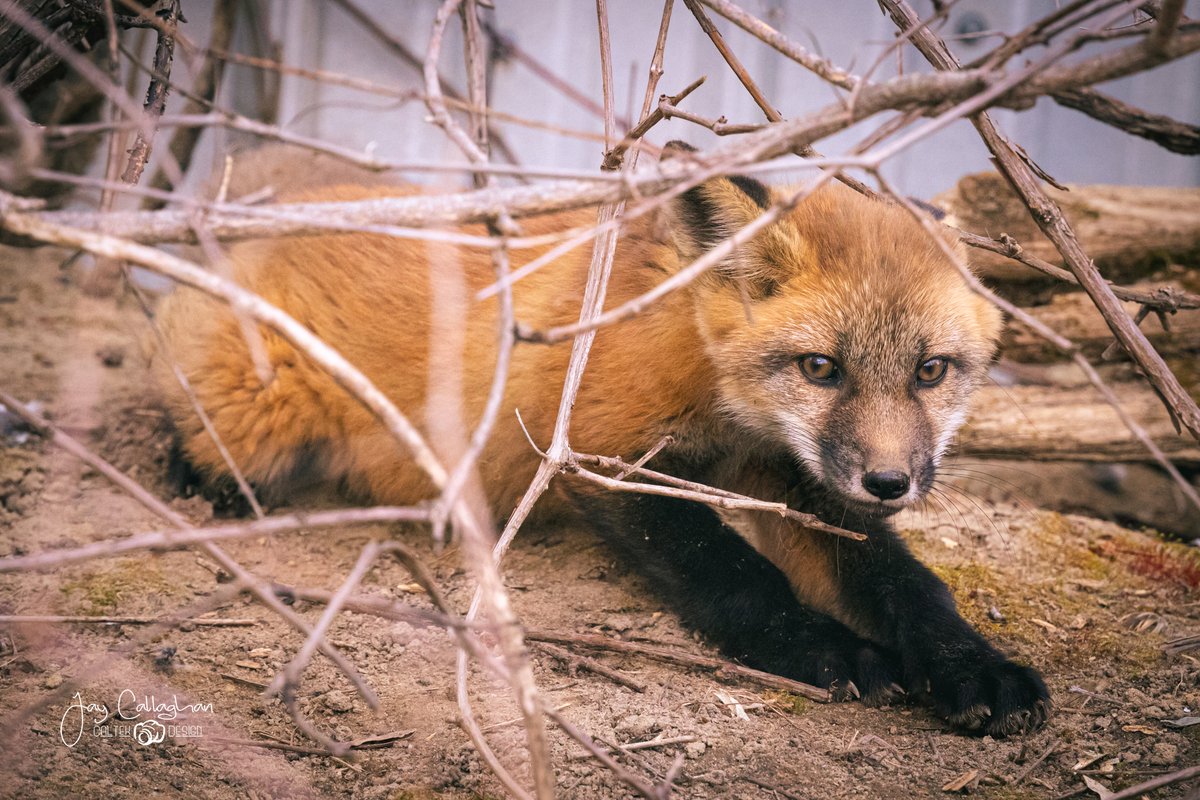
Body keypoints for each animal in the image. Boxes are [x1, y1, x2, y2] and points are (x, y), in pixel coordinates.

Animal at [154, 142, 1050, 737]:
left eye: (931, 372)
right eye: (821, 367)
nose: (891, 484)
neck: (718, 396)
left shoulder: (797, 479)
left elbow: (909, 585)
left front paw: (973, 665)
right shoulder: (600, 456)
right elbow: (736, 574)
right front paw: (820, 647)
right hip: (257, 413)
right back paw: (195, 480)